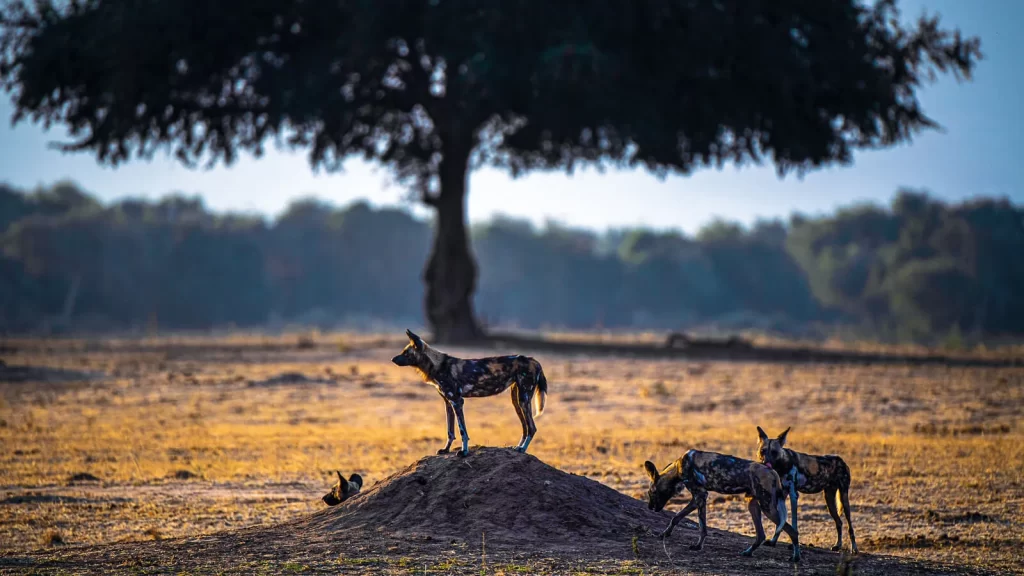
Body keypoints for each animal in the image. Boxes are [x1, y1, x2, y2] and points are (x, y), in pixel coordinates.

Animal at [391, 329, 548, 457]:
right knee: (525, 428)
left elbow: (462, 431)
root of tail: (533, 360)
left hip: (524, 399)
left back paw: (522, 449)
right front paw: (446, 450)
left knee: (532, 428)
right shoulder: (448, 403)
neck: (436, 365)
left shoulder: (457, 401)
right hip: (516, 400)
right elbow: (450, 431)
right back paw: (518, 447)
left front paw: (464, 451)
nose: (393, 359)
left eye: (406, 353)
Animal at [644, 450, 801, 562]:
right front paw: (665, 534)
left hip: (768, 508)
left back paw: (795, 558)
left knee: (793, 531)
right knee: (761, 535)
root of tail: (772, 471)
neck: (677, 468)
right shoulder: (698, 499)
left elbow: (700, 526)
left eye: (651, 493)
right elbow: (678, 518)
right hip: (753, 505)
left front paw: (697, 546)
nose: (650, 507)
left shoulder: (700, 496)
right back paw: (748, 552)